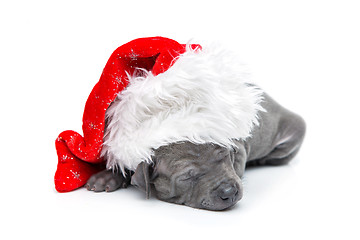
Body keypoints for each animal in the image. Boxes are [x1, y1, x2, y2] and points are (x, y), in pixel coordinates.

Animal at [86, 93, 306, 211]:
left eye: (225, 156)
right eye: (186, 177)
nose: (229, 192)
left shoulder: (240, 150)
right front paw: (108, 176)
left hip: (295, 128)